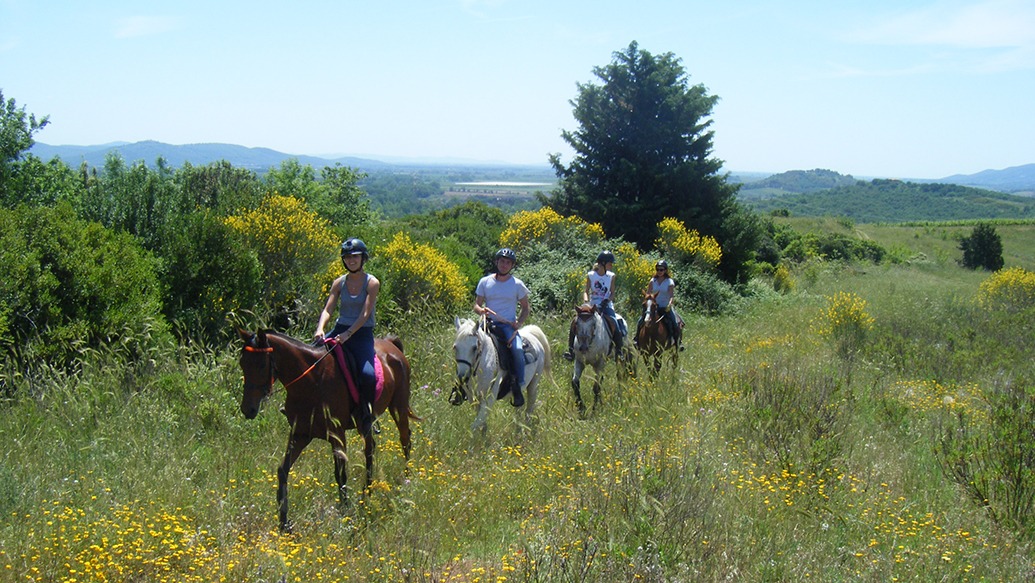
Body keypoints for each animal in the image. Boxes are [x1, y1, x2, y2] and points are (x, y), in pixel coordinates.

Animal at [237, 329, 418, 534]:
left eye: (261, 365)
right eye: (242, 363)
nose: (248, 409)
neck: (312, 381)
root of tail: (391, 345)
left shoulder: (336, 434)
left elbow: (340, 473)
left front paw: (345, 511)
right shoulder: (300, 434)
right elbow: (282, 471)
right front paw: (284, 522)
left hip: (398, 407)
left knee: (405, 440)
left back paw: (405, 479)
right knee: (370, 450)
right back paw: (368, 491)